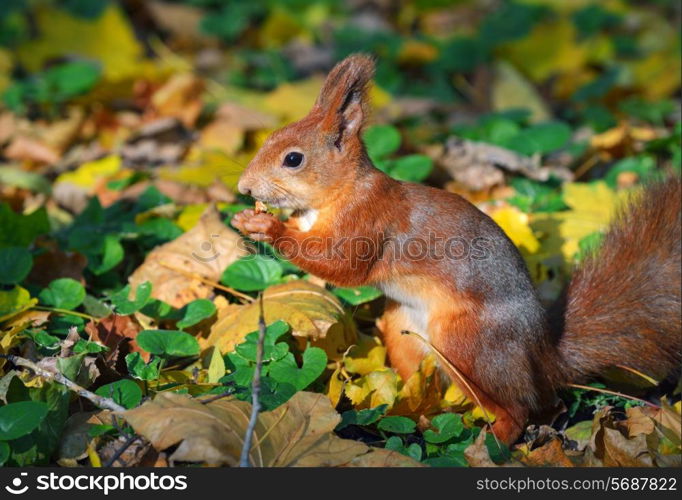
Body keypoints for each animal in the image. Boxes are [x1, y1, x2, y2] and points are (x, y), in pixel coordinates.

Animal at [231, 54, 676, 444]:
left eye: (293, 159)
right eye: (269, 140)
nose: (244, 188)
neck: (337, 193)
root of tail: (542, 357)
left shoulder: (368, 222)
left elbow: (342, 266)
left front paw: (267, 226)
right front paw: (246, 221)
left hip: (468, 344)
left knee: (520, 408)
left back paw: (493, 441)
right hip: (404, 328)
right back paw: (411, 412)